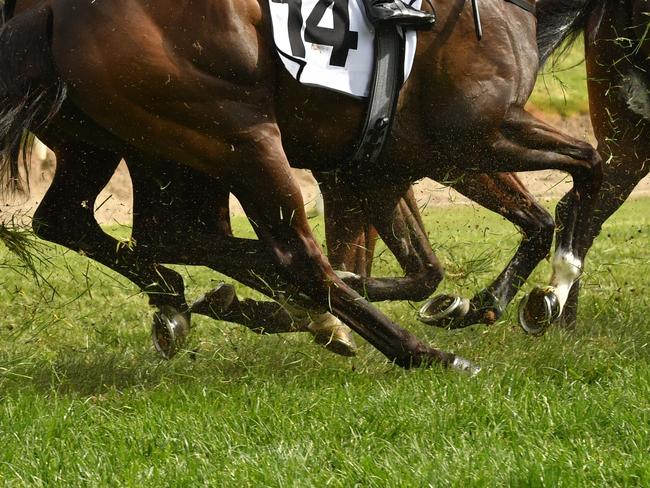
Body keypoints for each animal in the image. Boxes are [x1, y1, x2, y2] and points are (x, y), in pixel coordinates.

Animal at [0, 0, 600, 368]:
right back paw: (422, 355)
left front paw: (474, 304)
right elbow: (588, 167)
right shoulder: (474, 133)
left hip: (126, 147)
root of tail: (51, 10)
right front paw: (549, 292)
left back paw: (211, 300)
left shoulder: (383, 168)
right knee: (293, 257)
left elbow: (429, 268)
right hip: (241, 136)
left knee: (97, 225)